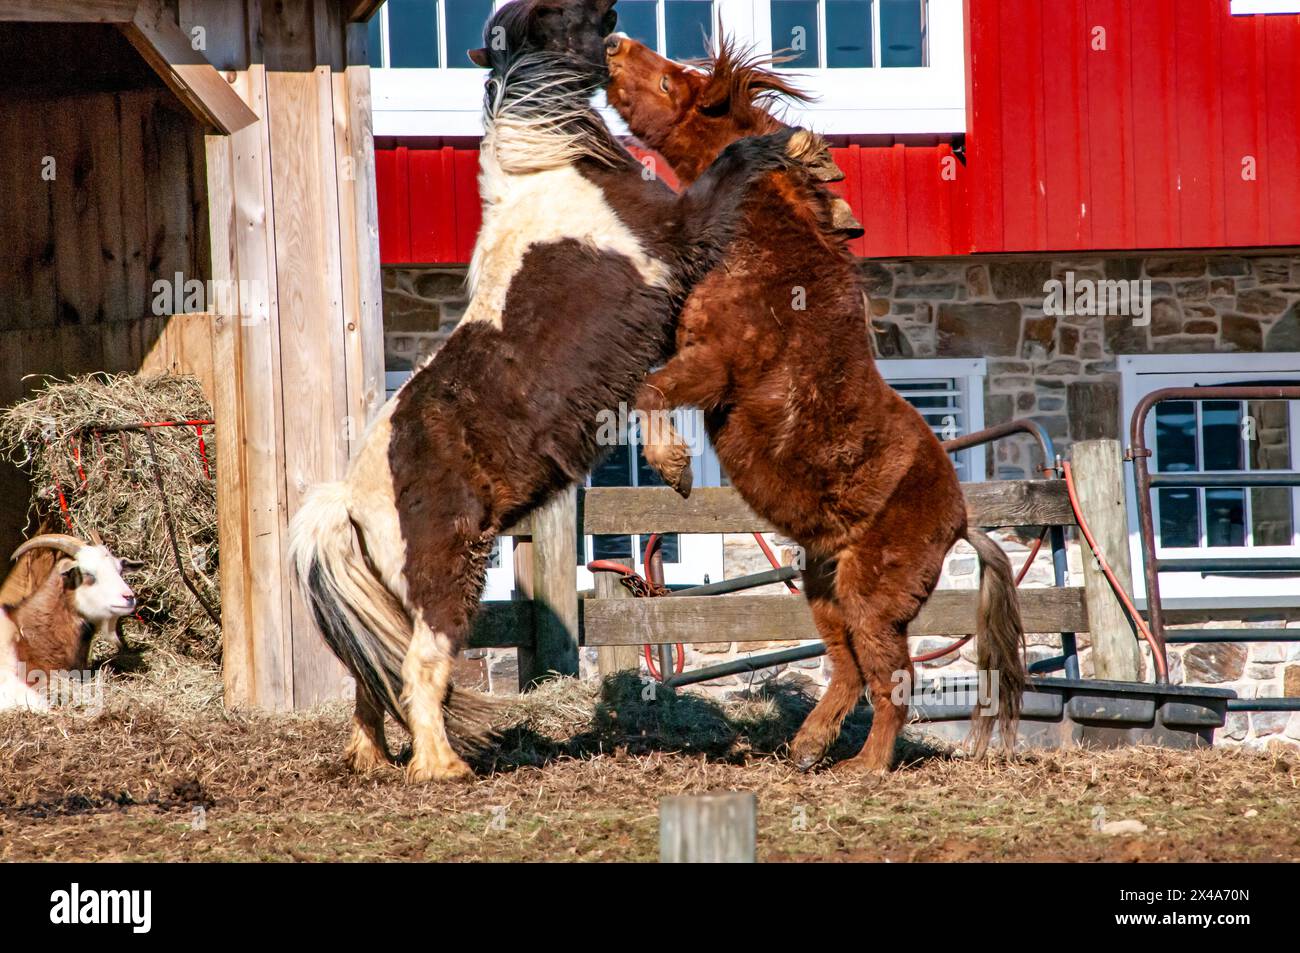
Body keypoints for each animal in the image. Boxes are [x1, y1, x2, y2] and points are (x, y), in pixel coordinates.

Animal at [289, 0, 807, 783]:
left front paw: (674, 465)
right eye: (563, 15)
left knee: (368, 677)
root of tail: (349, 500)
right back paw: (442, 767)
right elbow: (729, 171)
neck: (550, 172)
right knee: (417, 668)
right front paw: (782, 141)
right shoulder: (679, 235)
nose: (615, 18)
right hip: (445, 581)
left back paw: (372, 759)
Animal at [604, 34, 1028, 771]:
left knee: (891, 678)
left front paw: (673, 466)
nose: (612, 43)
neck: (766, 247)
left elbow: (649, 390)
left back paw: (867, 765)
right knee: (850, 668)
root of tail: (962, 521)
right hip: (822, 588)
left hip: (868, 598)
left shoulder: (716, 366)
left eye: (669, 80)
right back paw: (807, 746)